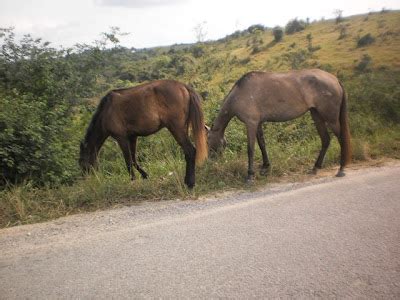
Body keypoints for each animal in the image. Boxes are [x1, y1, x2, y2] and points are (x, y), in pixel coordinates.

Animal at [79, 79, 208, 188]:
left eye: (82, 162)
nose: (86, 180)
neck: (106, 111)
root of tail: (183, 86)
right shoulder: (132, 137)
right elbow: (134, 160)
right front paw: (145, 175)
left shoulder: (121, 138)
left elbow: (128, 161)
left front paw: (133, 180)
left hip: (176, 128)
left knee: (190, 151)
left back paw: (190, 183)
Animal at [208, 69, 352, 182]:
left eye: (208, 142)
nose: (210, 162)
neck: (240, 93)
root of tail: (335, 79)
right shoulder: (258, 124)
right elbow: (262, 145)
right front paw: (265, 168)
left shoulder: (251, 123)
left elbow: (250, 149)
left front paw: (250, 175)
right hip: (316, 115)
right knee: (325, 140)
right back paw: (315, 168)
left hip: (331, 118)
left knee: (341, 138)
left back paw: (341, 169)